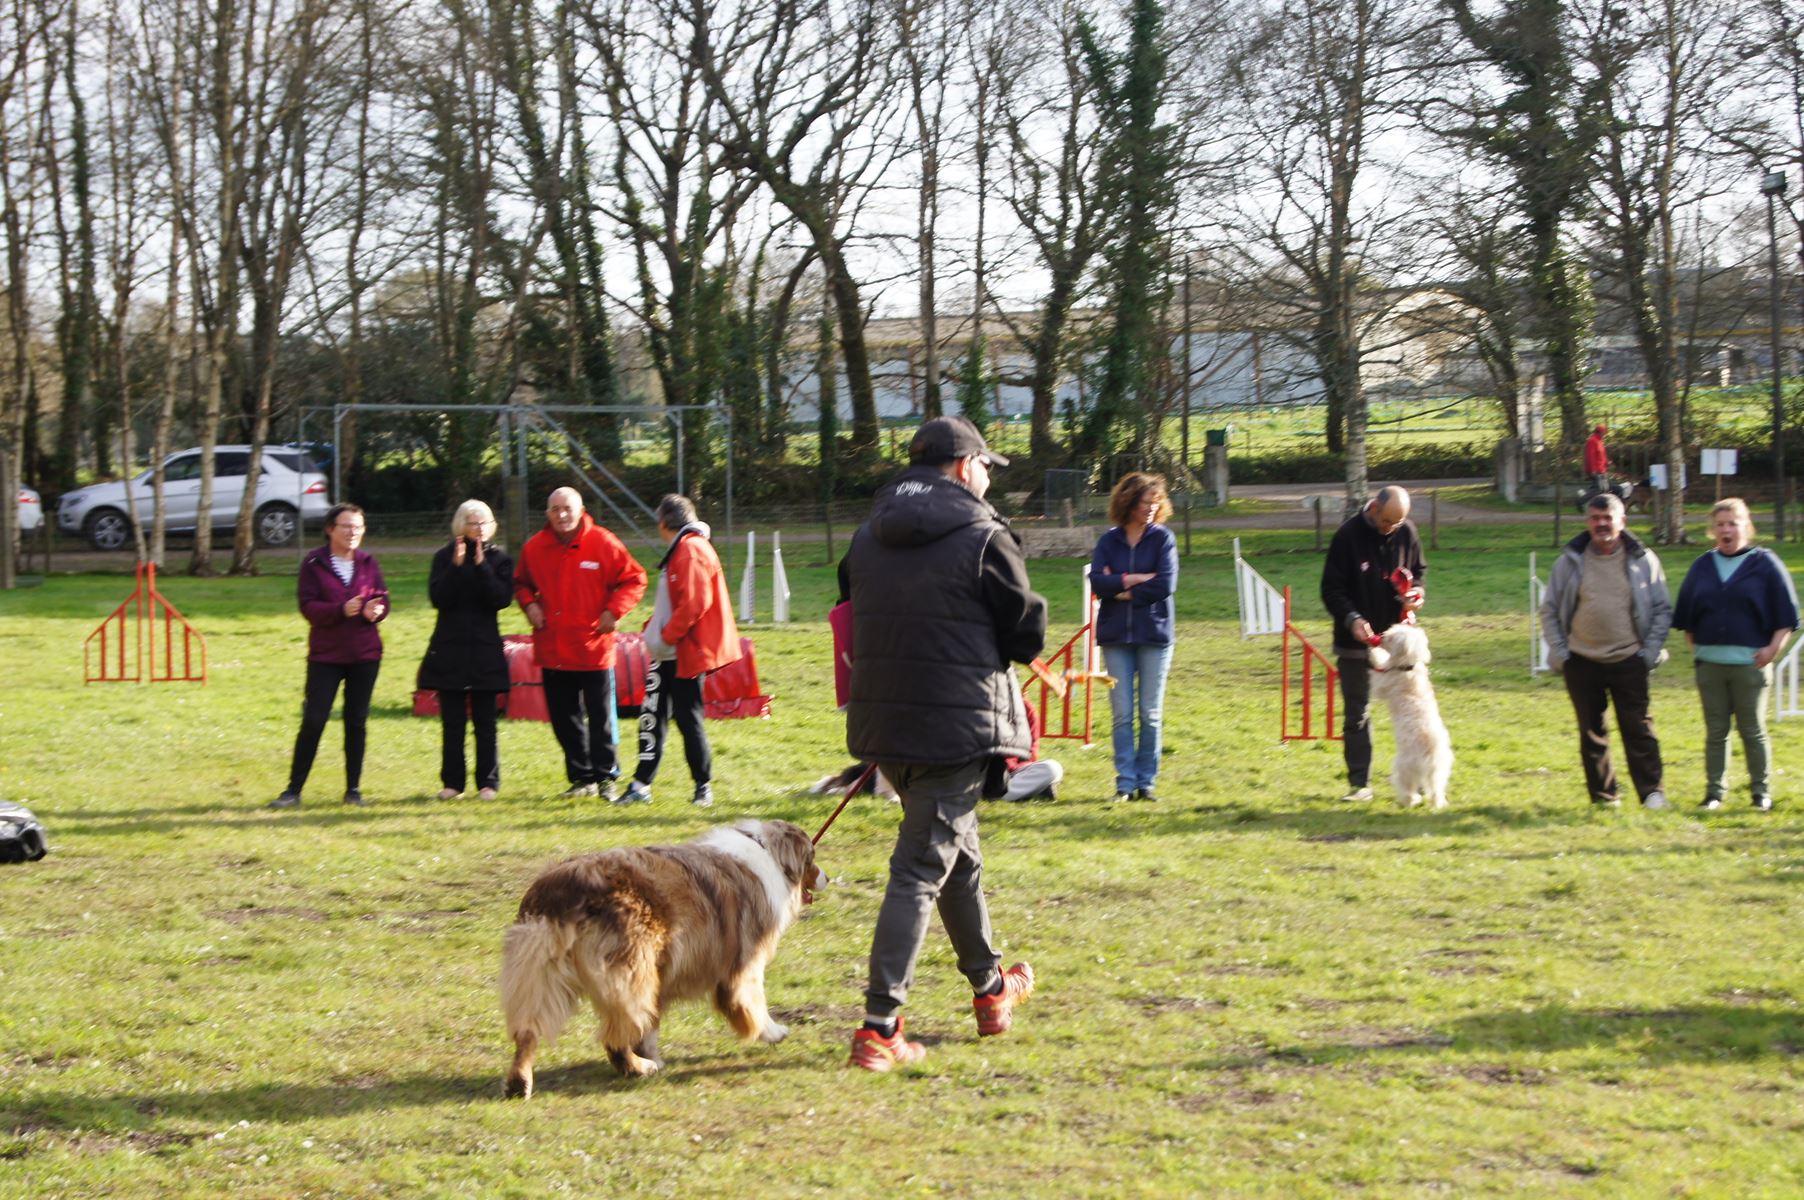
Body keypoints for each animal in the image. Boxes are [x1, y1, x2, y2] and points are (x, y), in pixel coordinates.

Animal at [501, 819, 826, 1089]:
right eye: (811, 857)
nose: (827, 877)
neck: (766, 852)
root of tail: (564, 893)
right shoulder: (743, 963)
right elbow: (752, 1005)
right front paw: (773, 1032)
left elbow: (651, 1025)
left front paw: (653, 1054)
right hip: (631, 972)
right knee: (616, 1036)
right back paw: (638, 1068)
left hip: (540, 972)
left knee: (528, 1029)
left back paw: (519, 1081)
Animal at [1363, 620, 1450, 808]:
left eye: (1392, 637)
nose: (1380, 636)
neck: (1409, 666)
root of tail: (1429, 754)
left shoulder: (1384, 681)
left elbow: (1378, 670)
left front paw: (1373, 651)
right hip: (1438, 772)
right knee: (1436, 790)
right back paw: (1437, 803)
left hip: (1404, 766)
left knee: (1407, 786)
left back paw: (1410, 800)